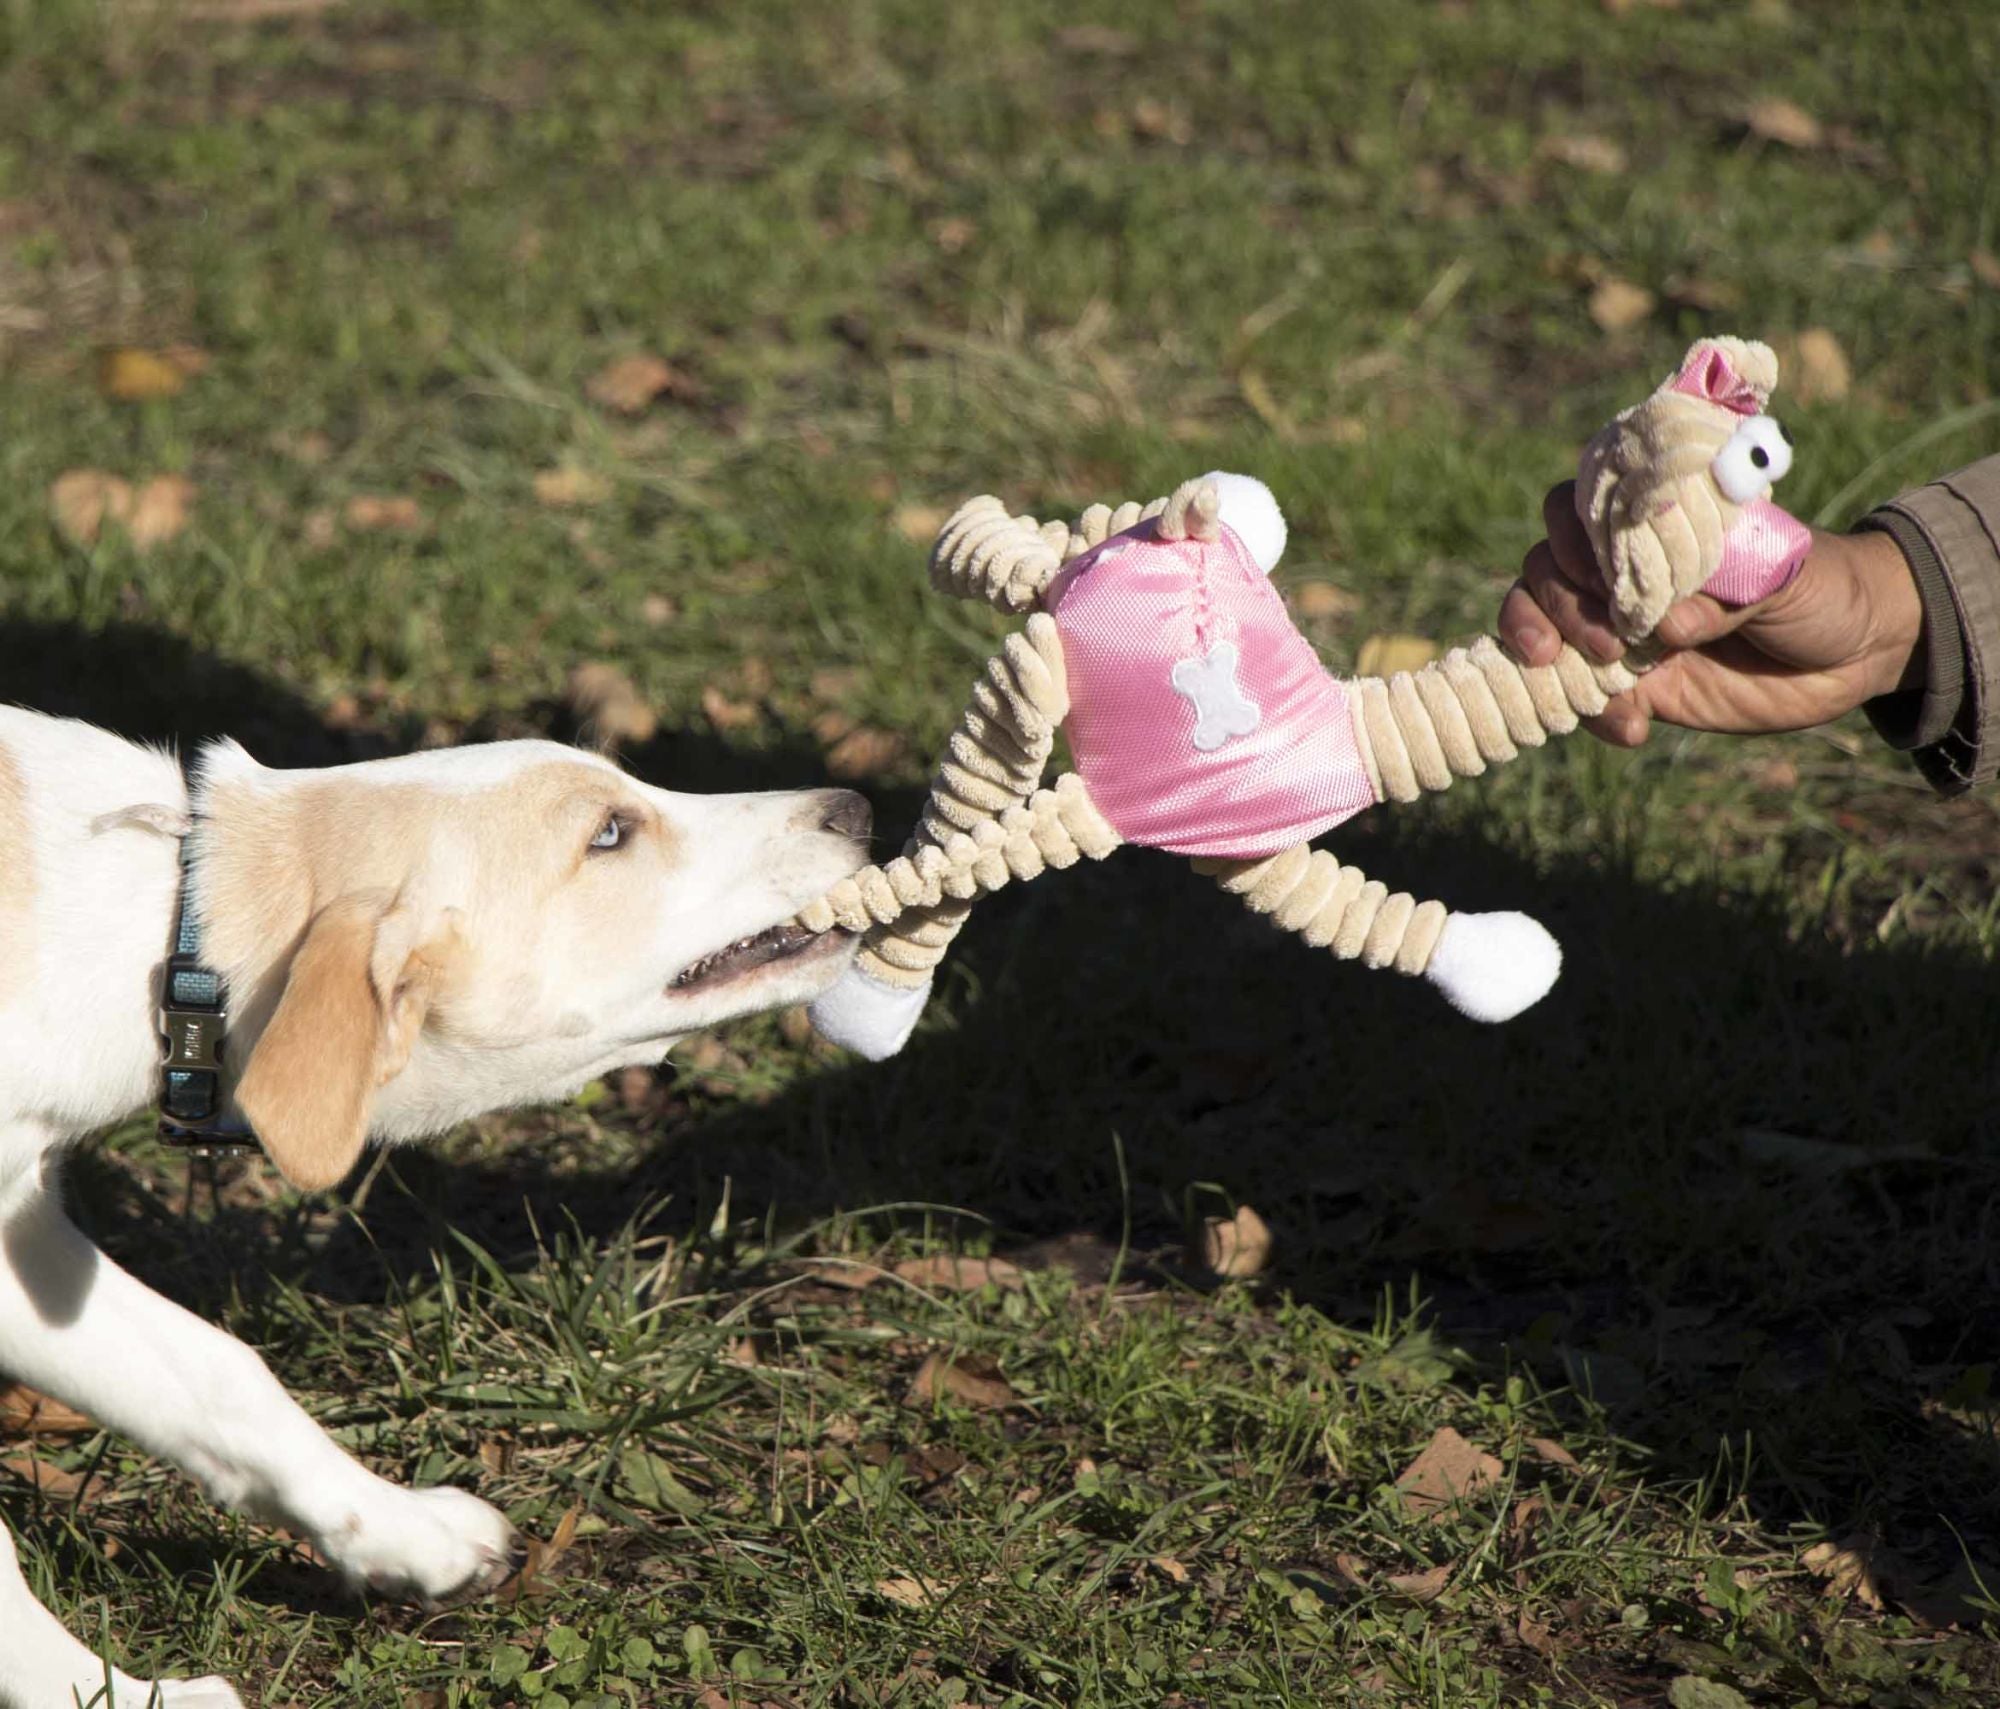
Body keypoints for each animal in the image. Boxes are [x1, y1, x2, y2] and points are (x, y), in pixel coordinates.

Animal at [0, 704, 868, 1704]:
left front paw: (408, 1533)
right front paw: (106, 1689)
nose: (856, 808)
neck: (161, 914)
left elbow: (222, 1371)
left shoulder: (23, 1238)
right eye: (608, 833)